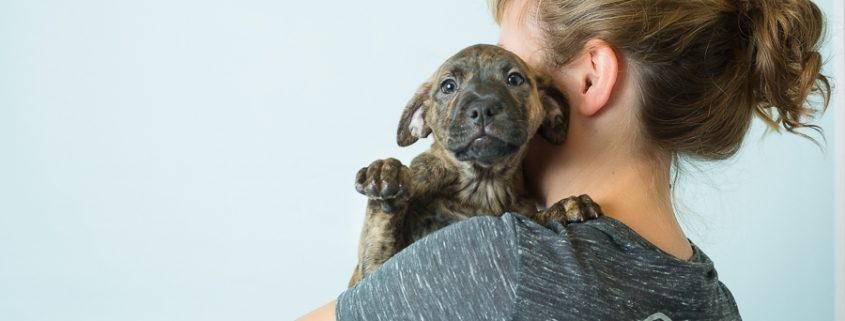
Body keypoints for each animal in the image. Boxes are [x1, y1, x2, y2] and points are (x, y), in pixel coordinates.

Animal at [348, 43, 600, 286]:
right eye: (448, 86)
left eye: (514, 79)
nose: (482, 109)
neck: (483, 183)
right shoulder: (371, 275)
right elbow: (379, 234)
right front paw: (384, 177)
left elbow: (531, 217)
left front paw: (562, 207)